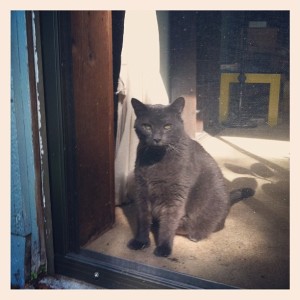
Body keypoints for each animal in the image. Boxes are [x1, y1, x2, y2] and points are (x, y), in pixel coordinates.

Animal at [127, 97, 254, 256]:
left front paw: (164, 248)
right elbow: (143, 219)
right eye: (147, 126)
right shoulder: (141, 190)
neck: (155, 159)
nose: (157, 138)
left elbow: (168, 223)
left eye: (167, 126)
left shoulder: (175, 196)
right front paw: (141, 242)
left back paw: (193, 234)